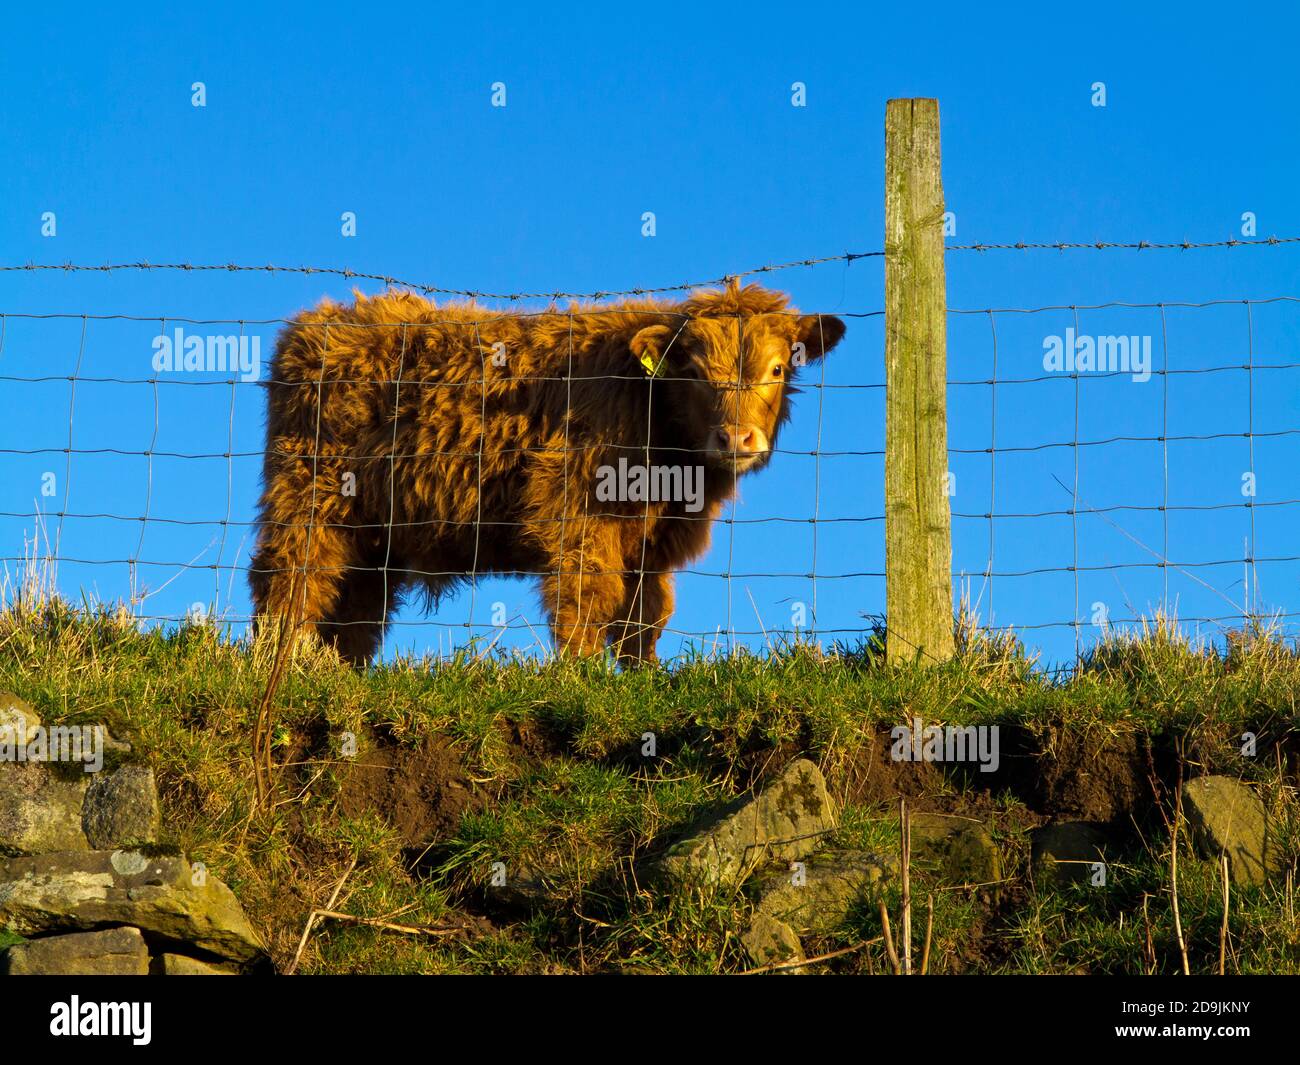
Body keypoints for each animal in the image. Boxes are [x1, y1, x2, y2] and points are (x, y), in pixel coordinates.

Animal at [248, 283, 847, 665]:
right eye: (698, 373)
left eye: (776, 368)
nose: (736, 439)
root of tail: (323, 320)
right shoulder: (579, 515)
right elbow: (587, 601)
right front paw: (580, 678)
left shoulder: (651, 546)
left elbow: (644, 619)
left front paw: (644, 681)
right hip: (308, 501)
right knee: (290, 583)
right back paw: (275, 665)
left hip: (373, 537)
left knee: (352, 613)